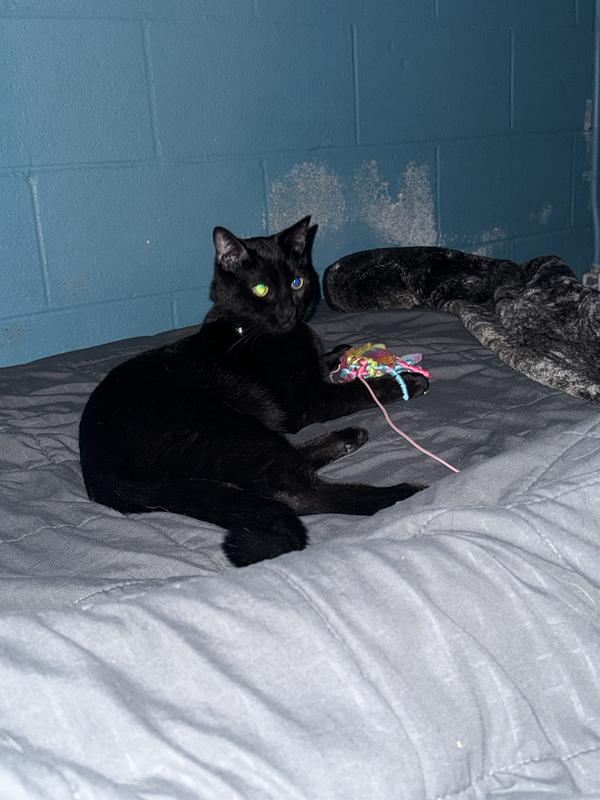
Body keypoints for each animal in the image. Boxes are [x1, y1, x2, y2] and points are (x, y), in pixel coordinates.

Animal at [79, 216, 429, 567]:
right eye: (261, 289)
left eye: (297, 282)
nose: (289, 312)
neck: (251, 329)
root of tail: (98, 469)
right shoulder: (308, 402)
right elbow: (358, 390)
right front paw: (407, 381)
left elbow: (322, 360)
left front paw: (340, 351)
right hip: (224, 426)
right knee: (295, 492)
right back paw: (404, 492)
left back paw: (348, 438)